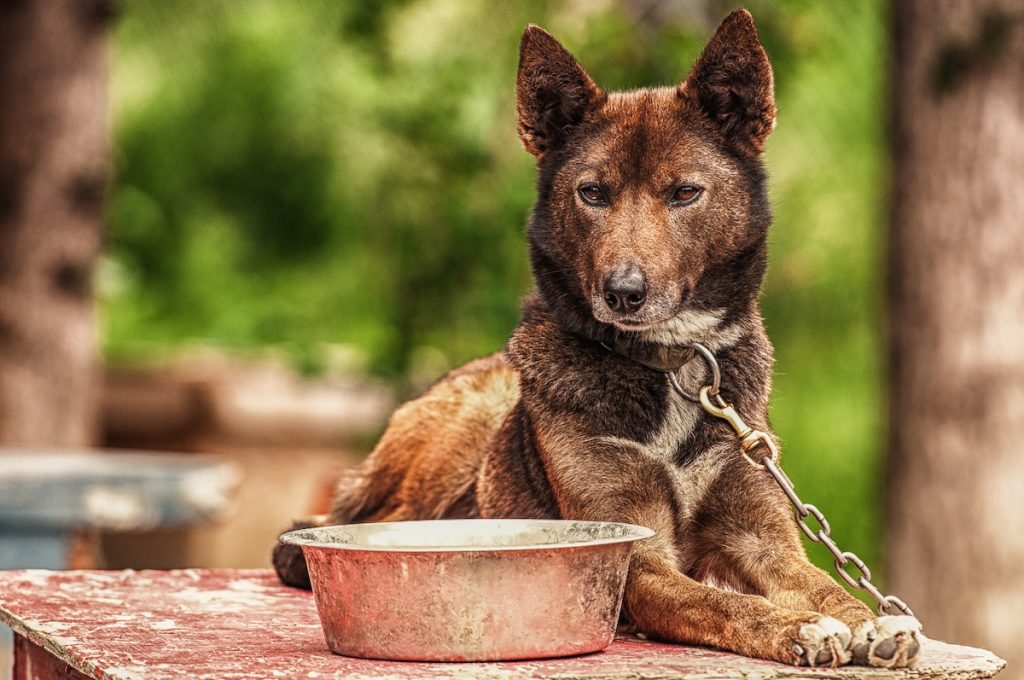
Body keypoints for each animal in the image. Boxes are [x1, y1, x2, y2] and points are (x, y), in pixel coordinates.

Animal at [276, 9, 925, 667]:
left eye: (684, 192)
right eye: (592, 193)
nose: (623, 293)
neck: (674, 367)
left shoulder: (761, 535)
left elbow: (820, 583)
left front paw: (873, 621)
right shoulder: (635, 556)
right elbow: (725, 605)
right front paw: (801, 628)